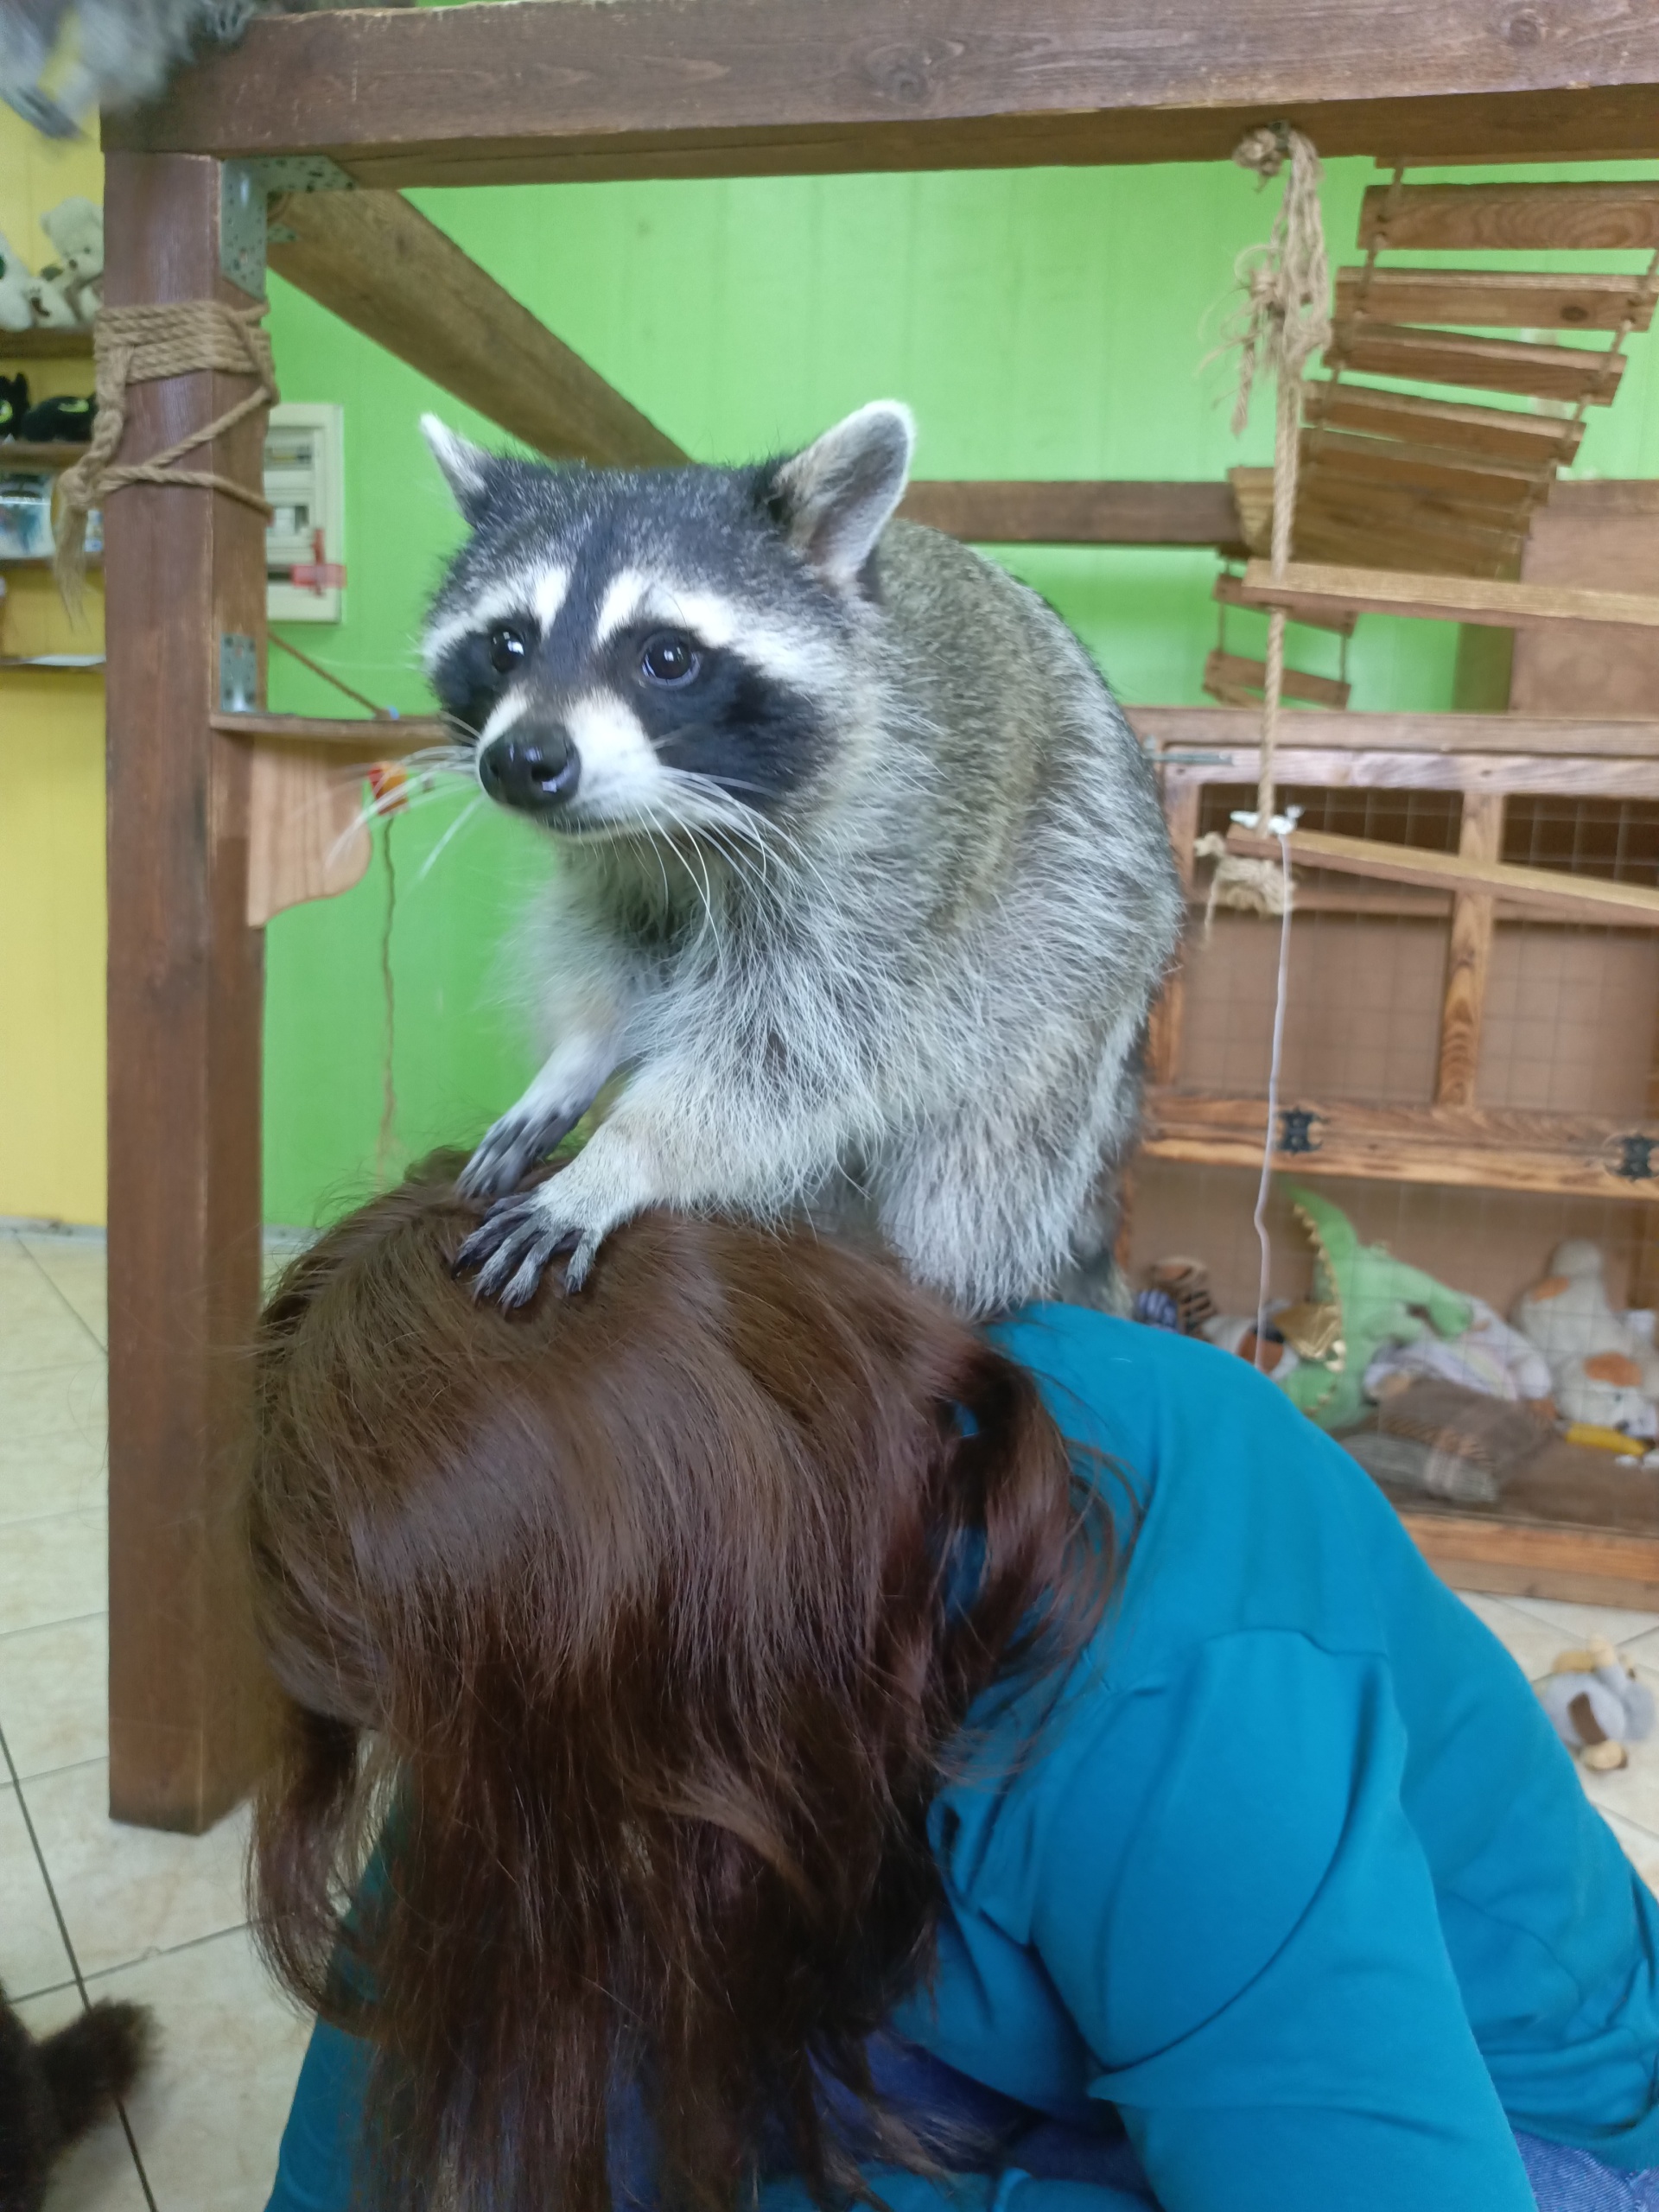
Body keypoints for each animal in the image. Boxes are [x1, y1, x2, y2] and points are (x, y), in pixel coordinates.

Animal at [424, 402, 1185, 1309]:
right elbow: (610, 947)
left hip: (1076, 951)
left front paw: (622, 1157)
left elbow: (793, 1058)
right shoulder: (615, 865)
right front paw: (577, 1056)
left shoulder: (889, 861)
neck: (666, 818)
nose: (522, 761)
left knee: (981, 1172)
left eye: (667, 657)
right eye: (506, 645)